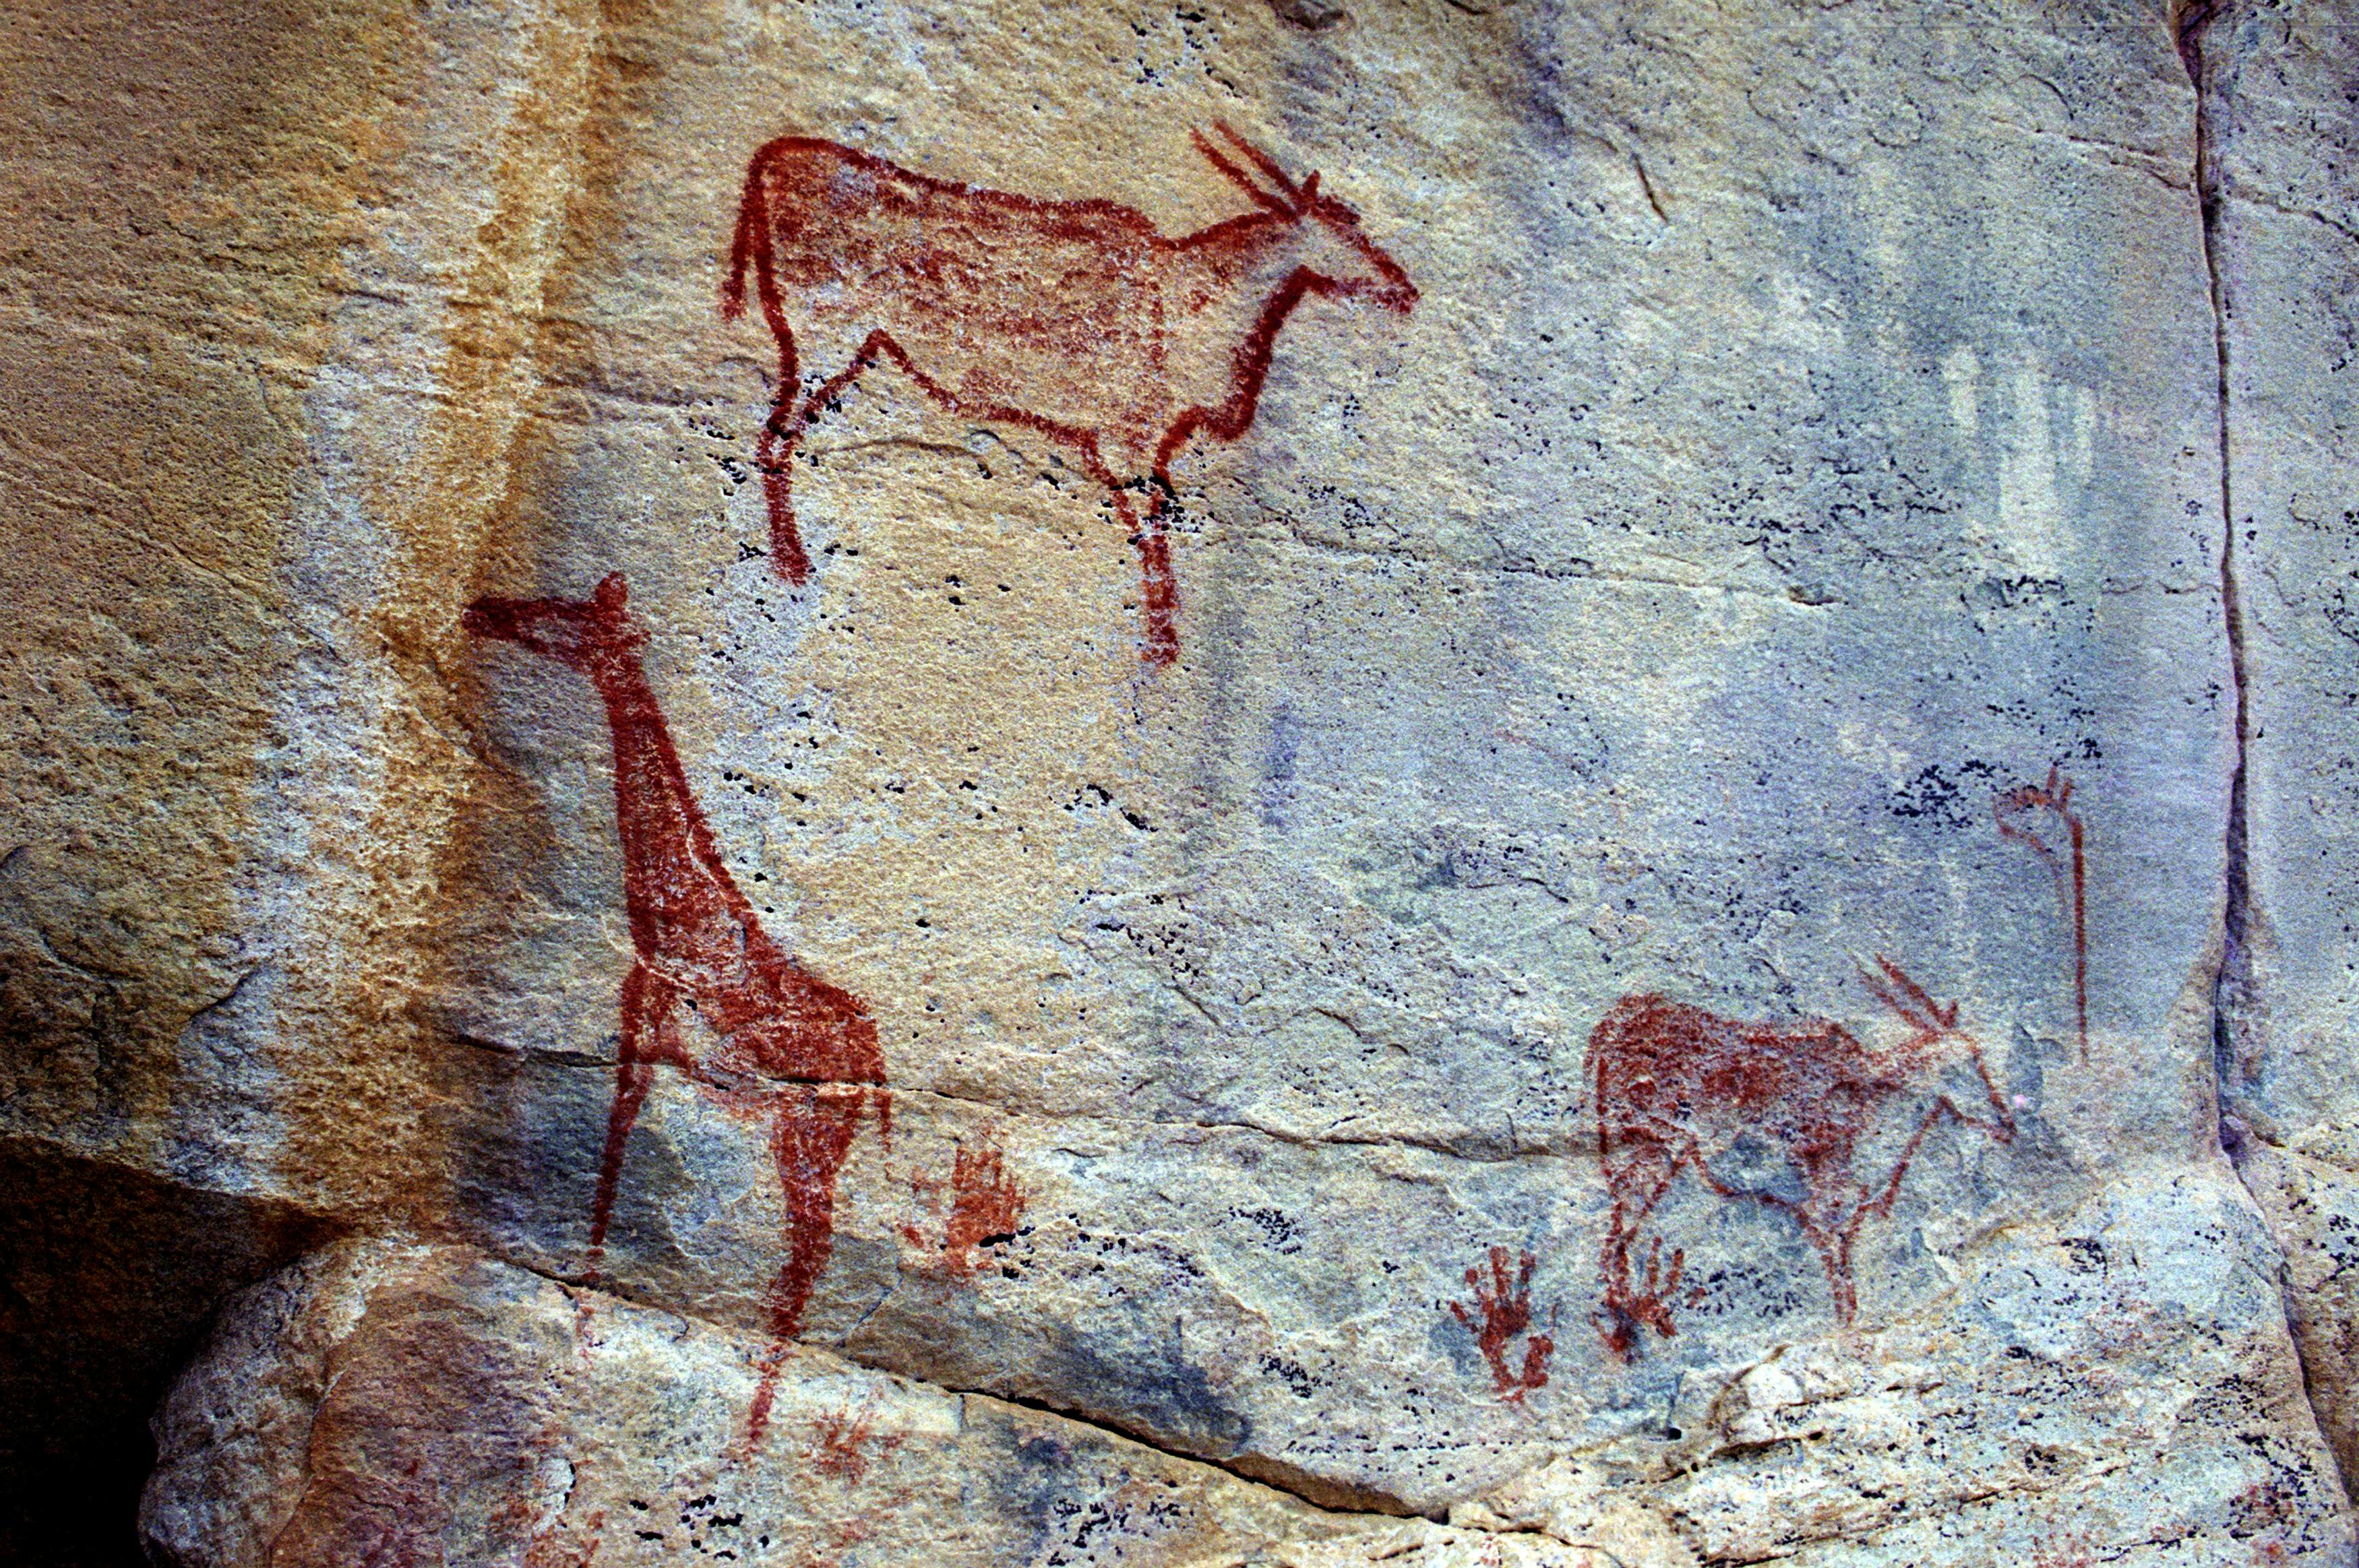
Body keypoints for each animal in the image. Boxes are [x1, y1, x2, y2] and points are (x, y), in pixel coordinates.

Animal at [460, 568, 887, 1433]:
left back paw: (753, 1426)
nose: (480, 611)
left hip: (806, 1128)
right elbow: (617, 1143)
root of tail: (873, 1048)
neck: (675, 909)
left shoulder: (641, 1011)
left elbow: (611, 1145)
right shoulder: (648, 1027)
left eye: (557, 614)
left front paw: (583, 1314)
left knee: (811, 1251)